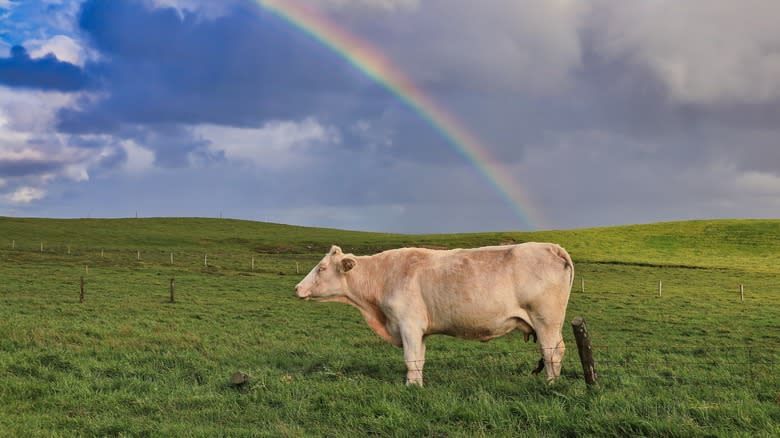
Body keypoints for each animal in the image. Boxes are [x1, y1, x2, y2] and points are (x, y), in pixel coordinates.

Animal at [292, 243, 572, 386]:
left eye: (321, 268)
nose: (297, 288)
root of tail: (552, 246)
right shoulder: (420, 330)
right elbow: (419, 359)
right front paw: (416, 384)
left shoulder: (408, 324)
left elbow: (409, 359)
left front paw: (411, 387)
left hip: (546, 321)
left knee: (552, 352)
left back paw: (551, 385)